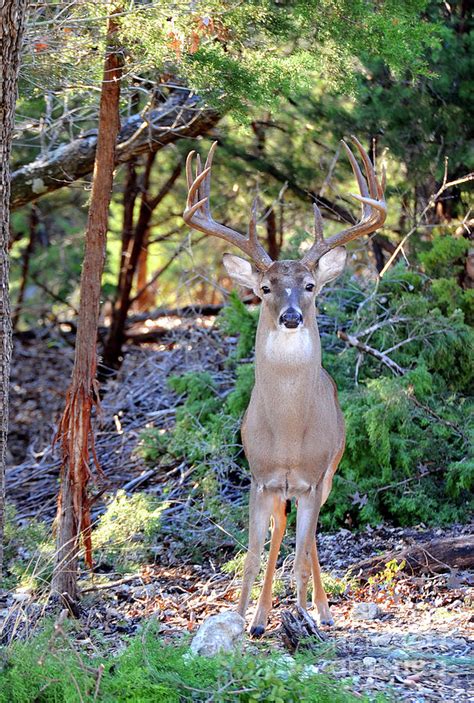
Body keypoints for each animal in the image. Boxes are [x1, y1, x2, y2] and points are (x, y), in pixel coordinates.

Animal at [181, 138, 386, 640]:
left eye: (310, 286)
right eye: (264, 287)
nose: (291, 317)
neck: (290, 435)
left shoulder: (313, 479)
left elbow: (301, 550)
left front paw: (305, 615)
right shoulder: (260, 478)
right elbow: (255, 553)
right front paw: (241, 618)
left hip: (330, 474)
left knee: (305, 541)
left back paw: (319, 611)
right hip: (279, 491)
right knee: (279, 535)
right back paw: (260, 617)